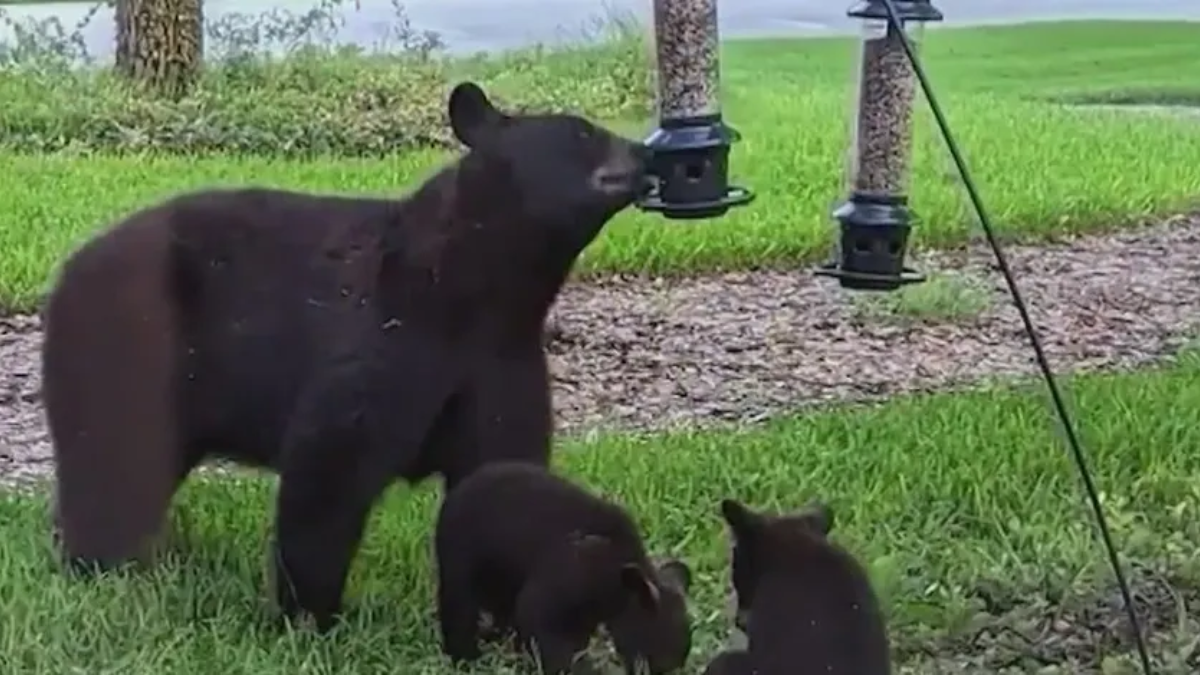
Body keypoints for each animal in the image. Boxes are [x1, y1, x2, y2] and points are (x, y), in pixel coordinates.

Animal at [42, 79, 652, 629]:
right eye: (582, 131)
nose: (644, 154)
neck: (473, 293)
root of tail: (67, 271)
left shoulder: (503, 363)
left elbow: (502, 469)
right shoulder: (378, 342)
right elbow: (328, 473)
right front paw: (311, 616)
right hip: (127, 348)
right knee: (113, 461)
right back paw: (104, 565)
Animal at [434, 461, 696, 672]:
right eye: (656, 658)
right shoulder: (562, 581)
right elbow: (544, 631)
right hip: (459, 562)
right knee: (459, 608)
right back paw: (466, 657)